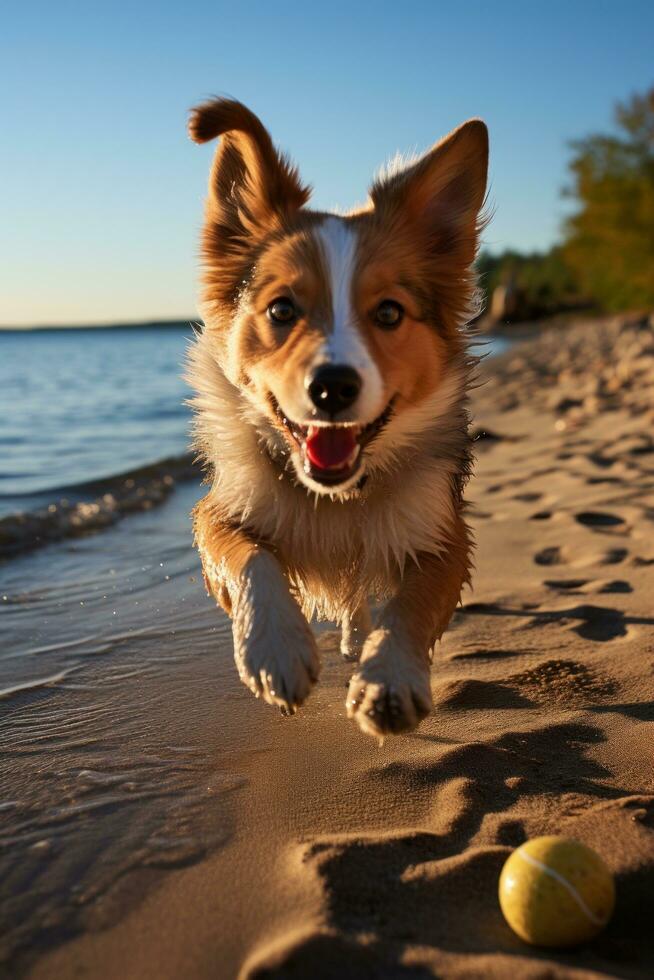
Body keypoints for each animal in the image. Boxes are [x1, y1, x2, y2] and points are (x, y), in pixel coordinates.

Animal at [187, 97, 490, 736]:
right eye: (281, 309)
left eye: (389, 312)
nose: (332, 387)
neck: (336, 496)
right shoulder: (218, 508)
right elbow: (248, 556)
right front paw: (275, 649)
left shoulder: (444, 531)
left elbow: (411, 603)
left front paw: (389, 677)